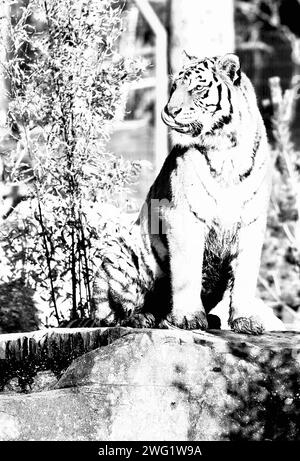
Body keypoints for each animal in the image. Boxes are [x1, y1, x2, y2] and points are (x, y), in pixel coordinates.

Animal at [92, 52, 284, 334]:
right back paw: (143, 318)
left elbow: (245, 276)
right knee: (108, 315)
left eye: (197, 88)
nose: (169, 111)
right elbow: (186, 272)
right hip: (116, 252)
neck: (226, 148)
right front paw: (188, 318)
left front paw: (246, 319)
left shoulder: (252, 220)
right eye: (174, 87)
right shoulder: (183, 217)